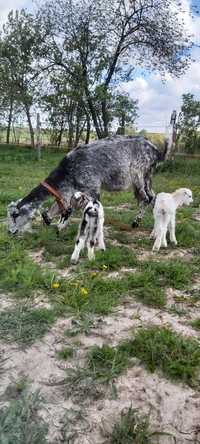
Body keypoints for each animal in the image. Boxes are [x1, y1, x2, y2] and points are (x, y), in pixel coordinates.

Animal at [7, 134, 169, 236]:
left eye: (15, 215)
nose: (9, 231)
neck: (68, 170)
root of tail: (156, 151)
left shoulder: (92, 188)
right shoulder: (72, 191)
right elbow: (62, 208)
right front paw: (58, 225)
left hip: (138, 175)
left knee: (146, 198)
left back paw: (136, 222)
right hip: (147, 178)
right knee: (153, 197)